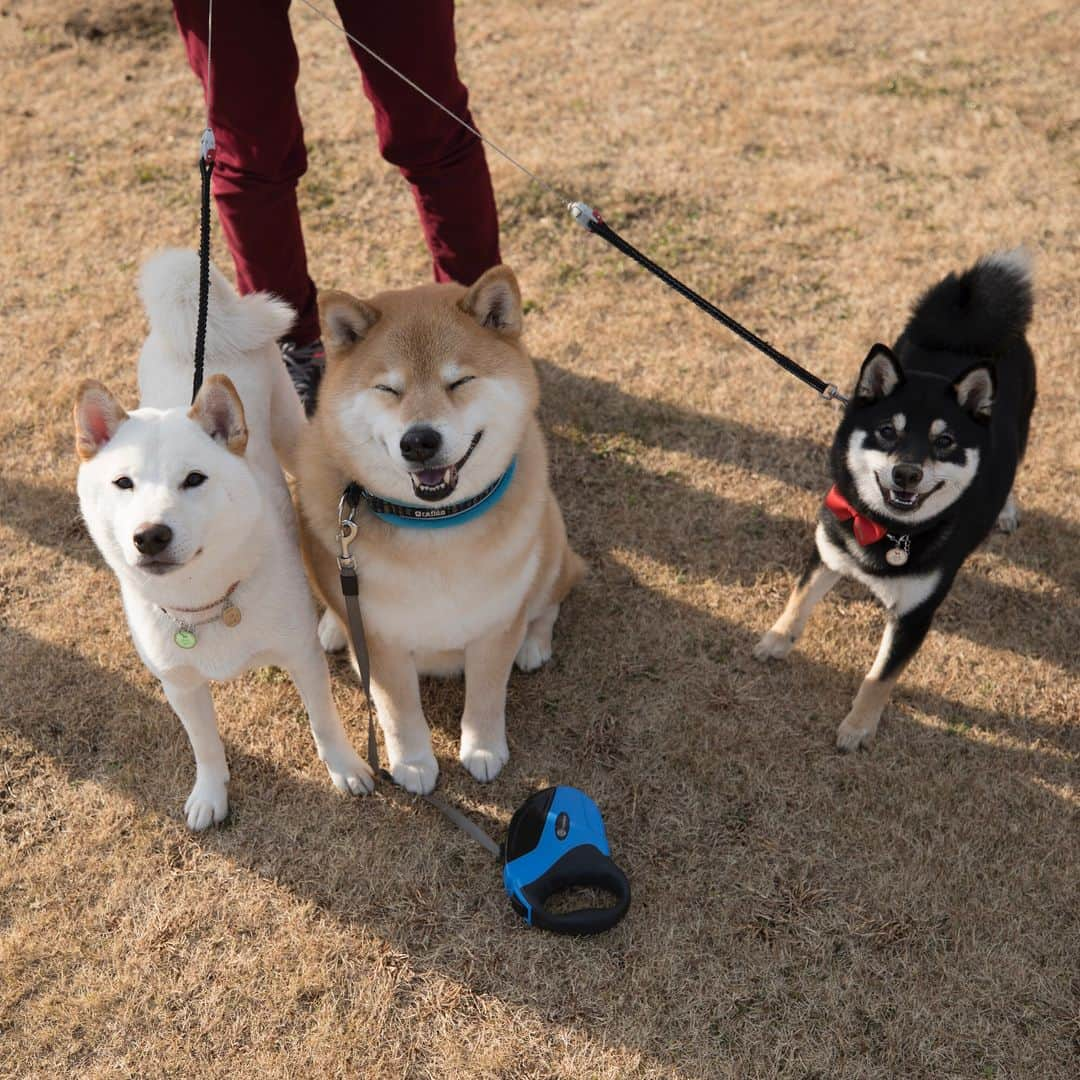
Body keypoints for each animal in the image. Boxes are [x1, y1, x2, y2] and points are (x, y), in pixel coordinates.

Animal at [75, 252, 371, 833]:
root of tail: (204, 324)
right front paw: (210, 795)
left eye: (194, 480)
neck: (205, 601)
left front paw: (346, 769)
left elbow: (323, 721)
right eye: (123, 483)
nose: (150, 535)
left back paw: (333, 621)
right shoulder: (179, 685)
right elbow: (205, 745)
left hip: (290, 433)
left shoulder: (299, 656)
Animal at [293, 266, 583, 799]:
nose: (419, 441)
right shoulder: (382, 642)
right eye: (388, 390)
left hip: (552, 535)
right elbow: (398, 712)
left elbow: (487, 694)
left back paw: (534, 643)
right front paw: (412, 763)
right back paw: (332, 627)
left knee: (551, 594)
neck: (435, 525)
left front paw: (483, 751)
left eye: (460, 381)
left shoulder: (495, 624)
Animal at [751, 248, 1036, 747]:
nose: (907, 473)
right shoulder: (827, 551)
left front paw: (858, 727)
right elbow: (797, 600)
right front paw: (777, 640)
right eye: (888, 431)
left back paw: (1005, 507)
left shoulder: (915, 615)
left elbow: (880, 677)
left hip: (1022, 421)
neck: (887, 530)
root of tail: (968, 327)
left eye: (944, 442)